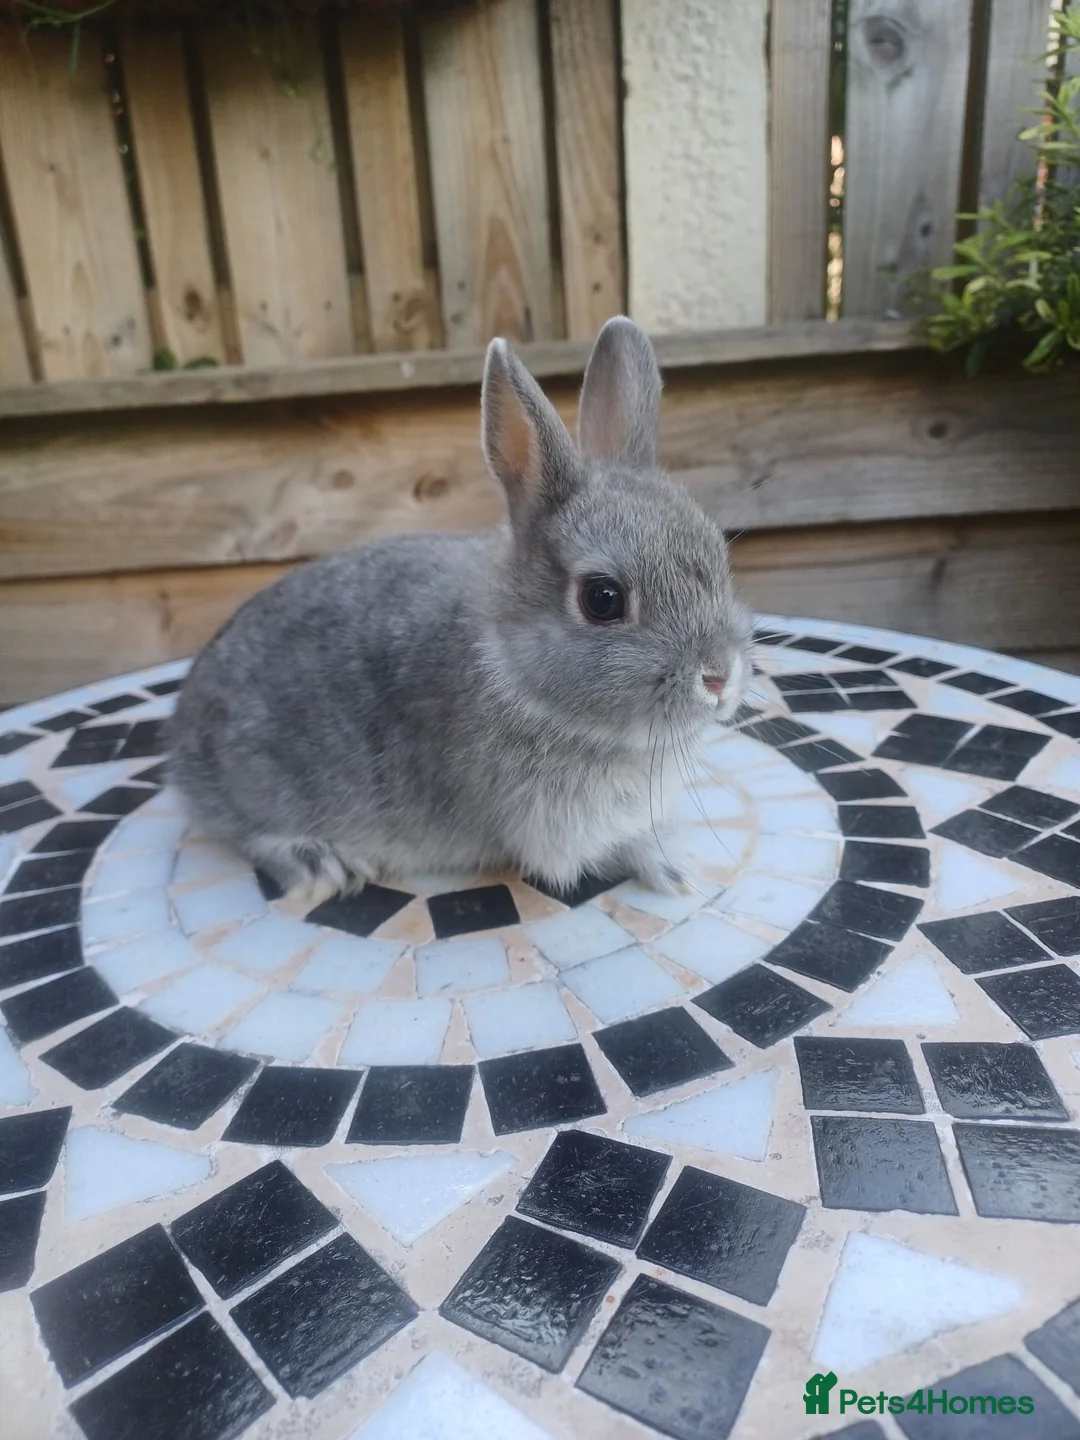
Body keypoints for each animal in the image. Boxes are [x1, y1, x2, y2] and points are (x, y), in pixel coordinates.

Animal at [168, 316, 752, 904]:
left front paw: (676, 864)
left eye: (718, 554)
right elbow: (612, 849)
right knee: (246, 833)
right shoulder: (553, 835)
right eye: (603, 599)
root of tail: (182, 744)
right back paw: (320, 865)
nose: (719, 678)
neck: (513, 670)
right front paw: (670, 870)